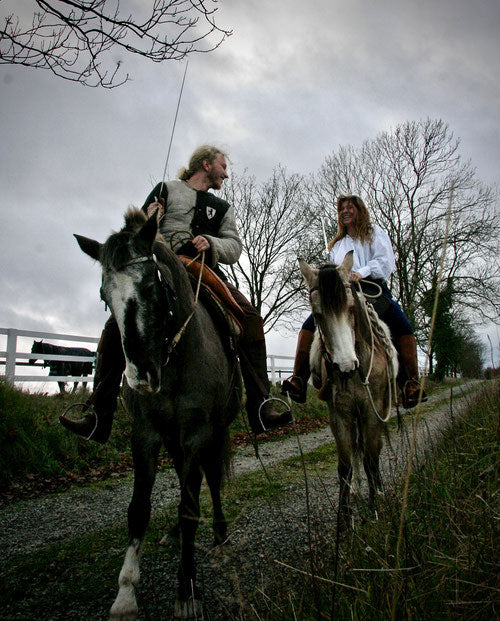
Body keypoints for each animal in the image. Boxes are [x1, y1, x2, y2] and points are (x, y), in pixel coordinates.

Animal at [75, 209, 243, 620]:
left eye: (153, 284)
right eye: (105, 297)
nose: (142, 376)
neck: (175, 358)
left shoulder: (198, 433)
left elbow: (189, 507)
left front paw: (187, 591)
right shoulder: (147, 434)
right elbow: (139, 509)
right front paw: (125, 593)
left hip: (213, 434)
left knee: (211, 482)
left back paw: (219, 535)